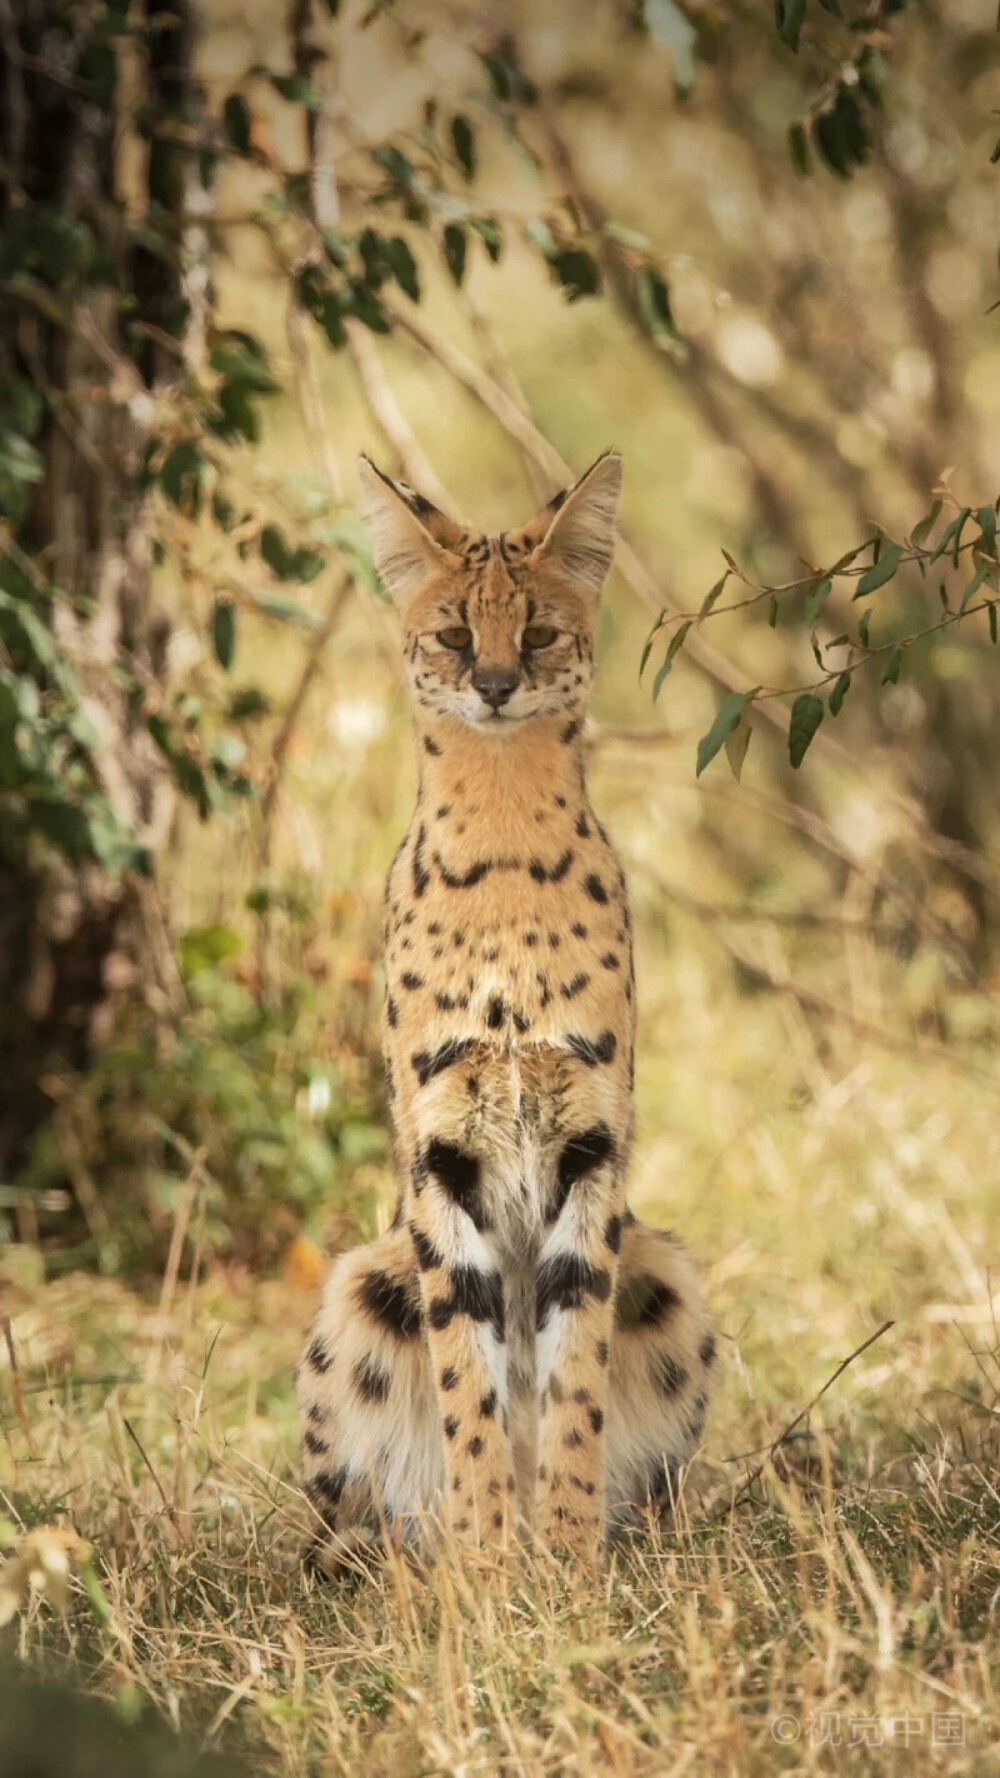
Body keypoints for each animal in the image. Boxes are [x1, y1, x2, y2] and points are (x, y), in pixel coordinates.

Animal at [291, 448, 711, 1571]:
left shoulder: (587, 1138)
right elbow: (469, 1382)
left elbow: (570, 1378)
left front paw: (562, 1561)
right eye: (449, 633)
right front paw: (486, 1567)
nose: (491, 684)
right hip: (361, 1284)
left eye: (537, 632)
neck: (506, 842)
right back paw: (411, 1555)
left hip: (666, 1269)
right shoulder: (445, 1145)